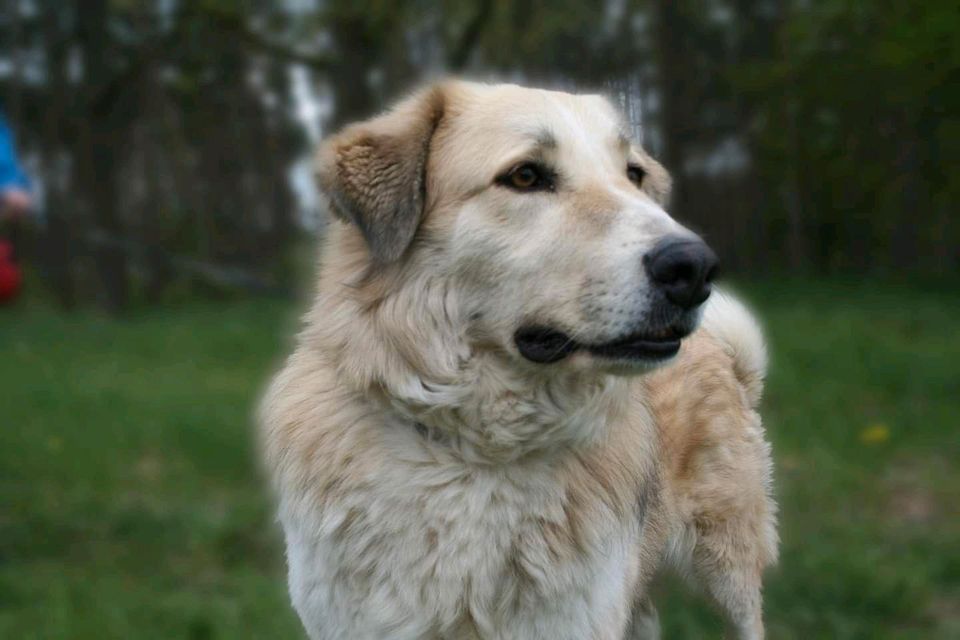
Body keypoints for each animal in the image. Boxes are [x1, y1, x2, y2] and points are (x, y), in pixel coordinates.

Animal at [262, 81, 780, 640]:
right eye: (526, 176)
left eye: (633, 175)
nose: (696, 268)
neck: (473, 454)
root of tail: (728, 360)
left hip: (727, 572)